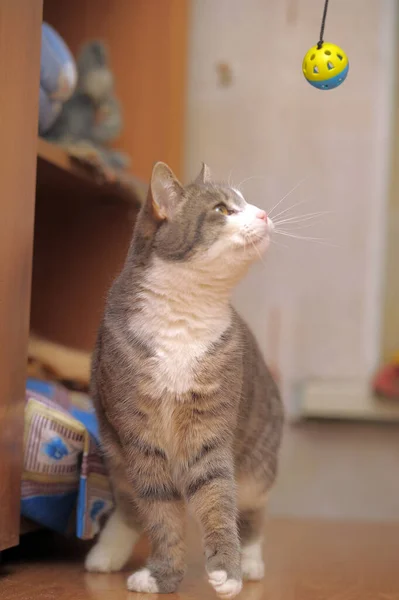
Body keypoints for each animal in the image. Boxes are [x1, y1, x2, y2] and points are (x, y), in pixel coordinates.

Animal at [84, 162, 284, 596]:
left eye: (245, 203)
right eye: (223, 209)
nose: (263, 214)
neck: (184, 317)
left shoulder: (208, 428)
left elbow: (216, 499)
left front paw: (227, 571)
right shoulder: (139, 436)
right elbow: (160, 512)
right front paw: (162, 576)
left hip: (257, 462)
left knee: (253, 512)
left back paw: (252, 561)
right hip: (116, 455)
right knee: (129, 506)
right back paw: (104, 554)